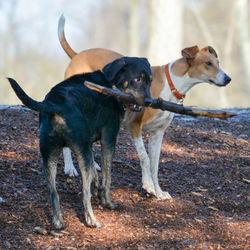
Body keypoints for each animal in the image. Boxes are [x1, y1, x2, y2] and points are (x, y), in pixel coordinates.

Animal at [7, 56, 152, 229]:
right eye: (137, 79)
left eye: (150, 81)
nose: (150, 101)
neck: (110, 83)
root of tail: (54, 104)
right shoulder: (108, 138)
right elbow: (107, 176)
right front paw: (107, 202)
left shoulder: (88, 145)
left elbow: (96, 173)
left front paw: (96, 189)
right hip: (78, 151)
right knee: (84, 191)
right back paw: (92, 220)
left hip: (49, 156)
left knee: (54, 192)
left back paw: (58, 222)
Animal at [57, 15, 231, 199]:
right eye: (208, 63)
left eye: (218, 62)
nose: (228, 79)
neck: (171, 85)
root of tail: (77, 55)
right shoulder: (134, 125)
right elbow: (145, 158)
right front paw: (148, 185)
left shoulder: (157, 133)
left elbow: (155, 165)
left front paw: (158, 192)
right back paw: (70, 167)